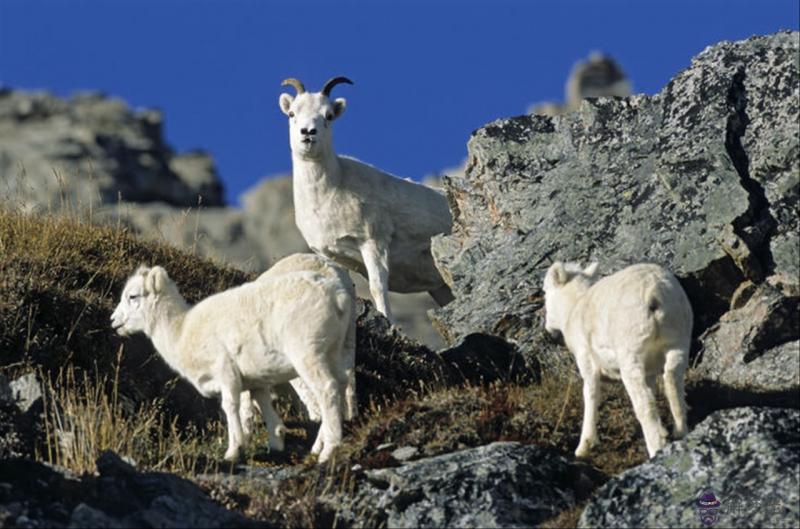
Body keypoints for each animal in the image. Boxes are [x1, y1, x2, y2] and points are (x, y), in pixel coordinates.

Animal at [278, 76, 454, 320]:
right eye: (292, 113)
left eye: (328, 116)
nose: (308, 132)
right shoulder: (331, 255)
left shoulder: (372, 242)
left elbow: (377, 287)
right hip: (441, 288)